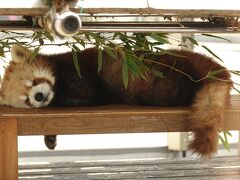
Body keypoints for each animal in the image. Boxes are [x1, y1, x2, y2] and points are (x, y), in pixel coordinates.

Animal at [0, 44, 232, 158]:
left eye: (34, 81)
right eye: (26, 100)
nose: (39, 97)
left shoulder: (81, 72)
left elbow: (82, 94)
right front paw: (50, 139)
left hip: (161, 80)